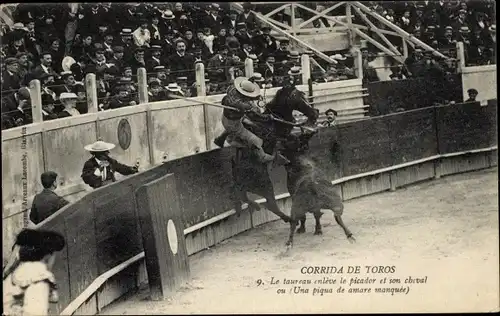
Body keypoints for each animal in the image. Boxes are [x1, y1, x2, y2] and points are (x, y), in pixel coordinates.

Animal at [225, 85, 318, 223]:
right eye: (297, 96)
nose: (315, 112)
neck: (275, 119)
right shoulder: (283, 138)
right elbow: (294, 140)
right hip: (266, 185)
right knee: (270, 204)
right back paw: (289, 219)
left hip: (246, 188)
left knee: (244, 197)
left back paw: (256, 206)